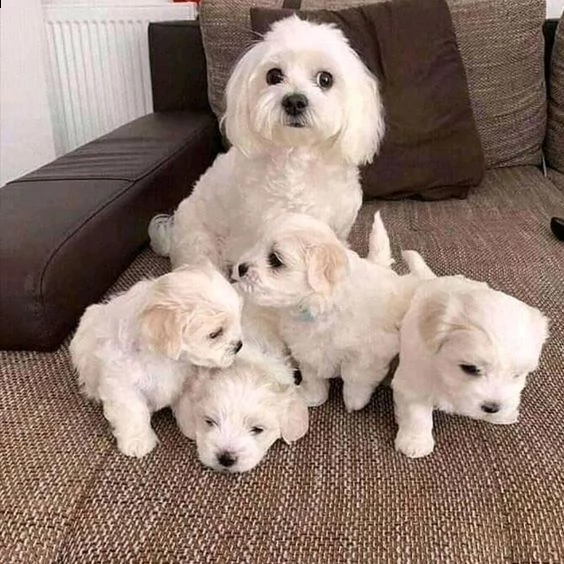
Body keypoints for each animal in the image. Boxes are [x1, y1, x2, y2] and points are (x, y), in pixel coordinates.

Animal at [70, 266, 242, 458]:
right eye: (215, 334)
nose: (239, 346)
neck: (163, 358)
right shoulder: (121, 383)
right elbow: (133, 410)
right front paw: (138, 443)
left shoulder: (188, 380)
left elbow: (187, 404)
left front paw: (193, 427)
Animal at [148, 15, 386, 274]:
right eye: (273, 76)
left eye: (325, 79)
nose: (294, 101)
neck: (300, 160)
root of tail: (172, 238)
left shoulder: (336, 229)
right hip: (201, 245)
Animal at [231, 210, 420, 410]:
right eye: (256, 245)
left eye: (275, 259)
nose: (241, 268)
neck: (317, 309)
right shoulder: (306, 350)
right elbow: (312, 377)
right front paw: (312, 397)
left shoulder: (370, 352)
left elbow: (355, 376)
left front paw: (354, 401)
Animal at [390, 253, 548, 460]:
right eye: (470, 368)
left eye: (517, 375)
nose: (492, 407)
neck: (443, 372)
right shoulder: (413, 381)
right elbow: (416, 413)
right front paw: (415, 442)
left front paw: (503, 414)